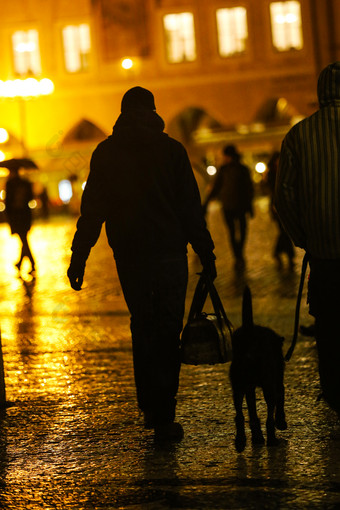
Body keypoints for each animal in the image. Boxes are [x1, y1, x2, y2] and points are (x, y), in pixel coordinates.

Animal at [231, 284, 286, 452]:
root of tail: (250, 331)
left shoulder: (249, 388)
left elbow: (252, 412)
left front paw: (256, 436)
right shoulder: (276, 380)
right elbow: (280, 397)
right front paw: (281, 422)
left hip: (238, 386)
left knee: (239, 415)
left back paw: (241, 441)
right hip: (268, 384)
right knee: (269, 416)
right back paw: (272, 439)